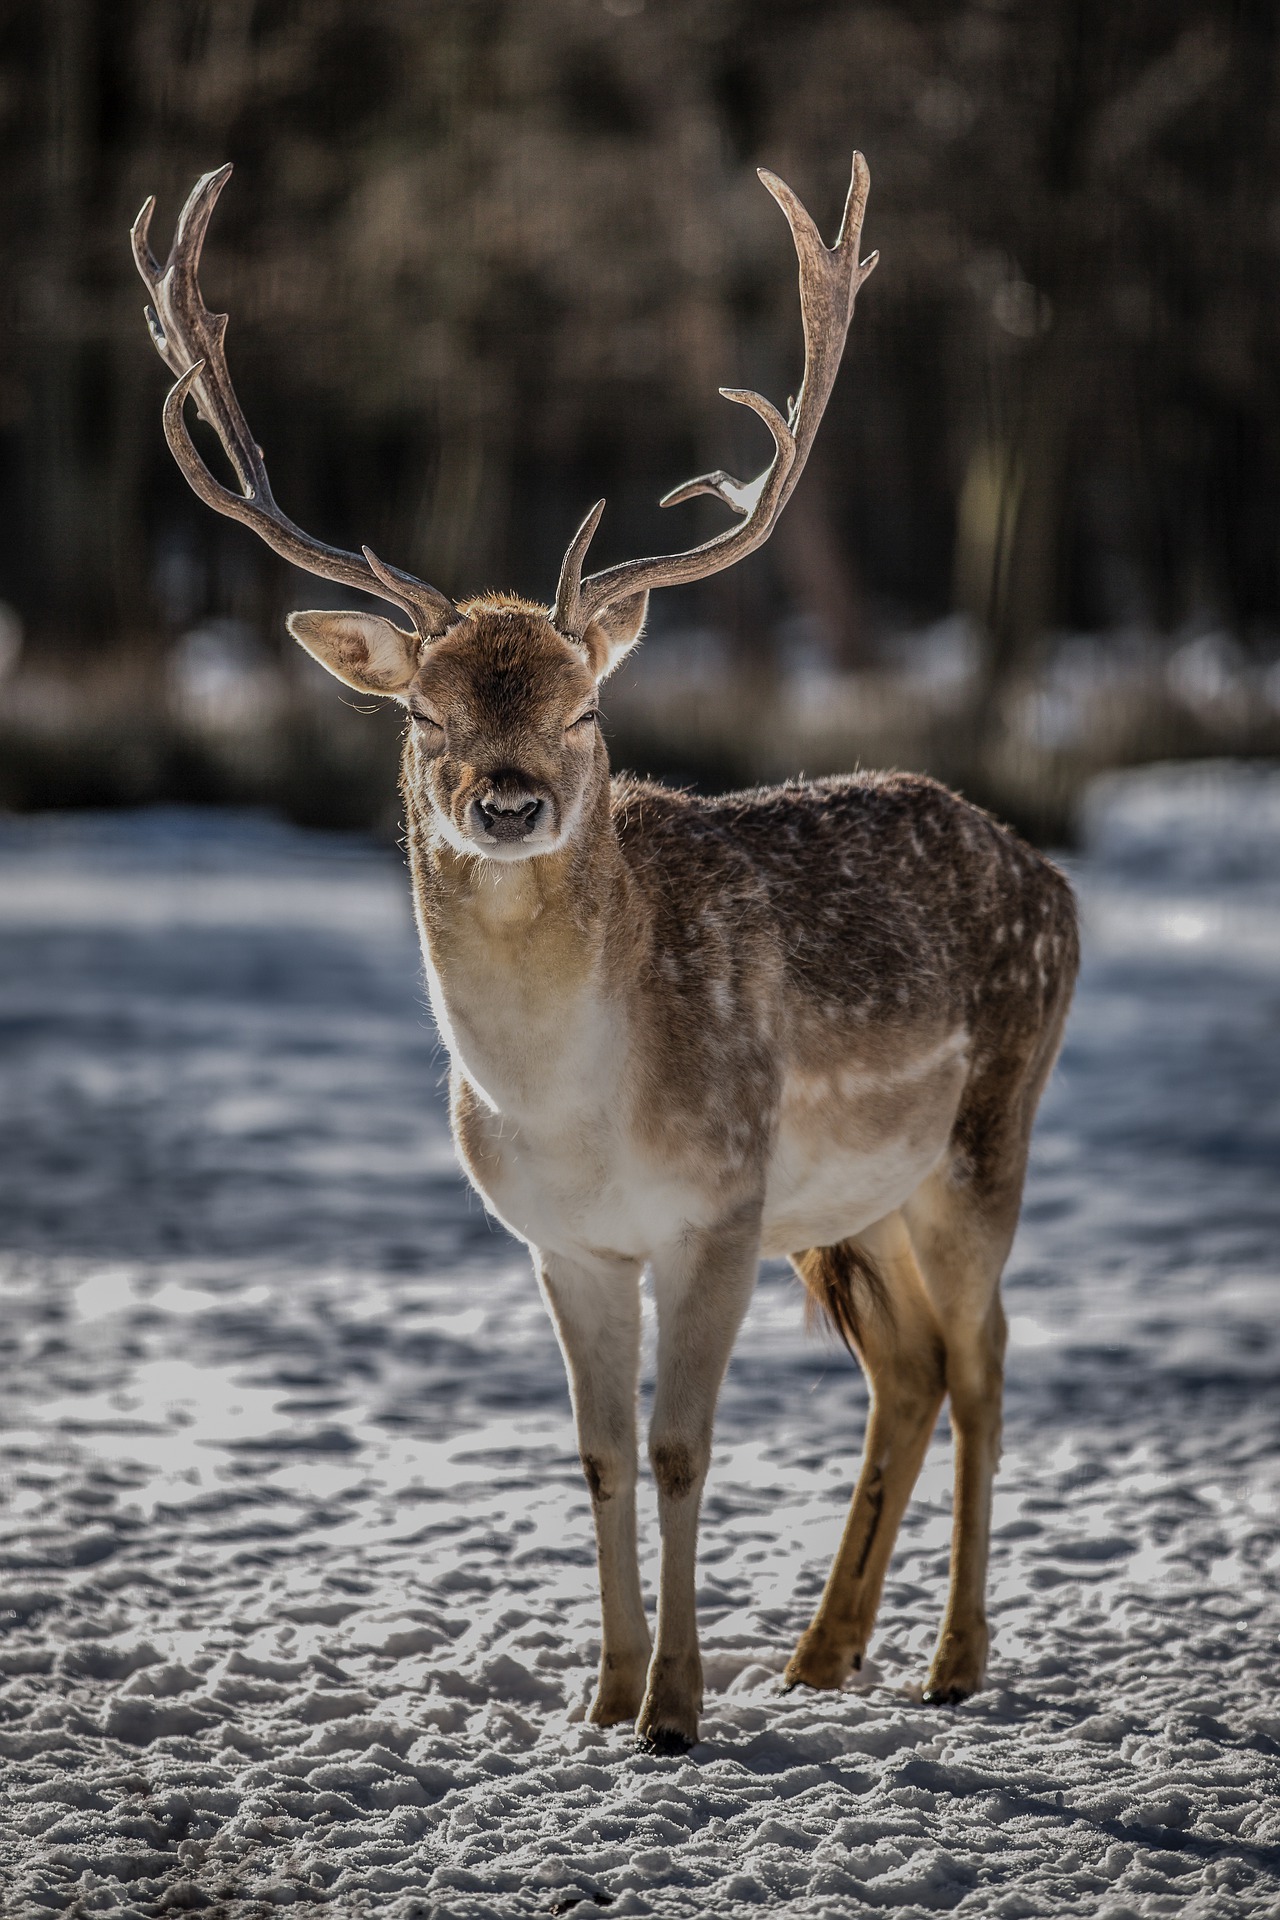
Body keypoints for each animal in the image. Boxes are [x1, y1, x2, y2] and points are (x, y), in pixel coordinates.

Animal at [132, 152, 1078, 1754]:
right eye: (423, 714)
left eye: (584, 707)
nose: (509, 797)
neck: (574, 1108)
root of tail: (1054, 878)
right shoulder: (562, 1242)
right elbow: (597, 1453)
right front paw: (603, 1693)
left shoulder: (715, 1208)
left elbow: (684, 1446)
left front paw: (676, 1711)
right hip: (851, 1202)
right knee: (909, 1369)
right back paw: (820, 1656)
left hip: (979, 1139)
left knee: (988, 1364)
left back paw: (951, 1663)